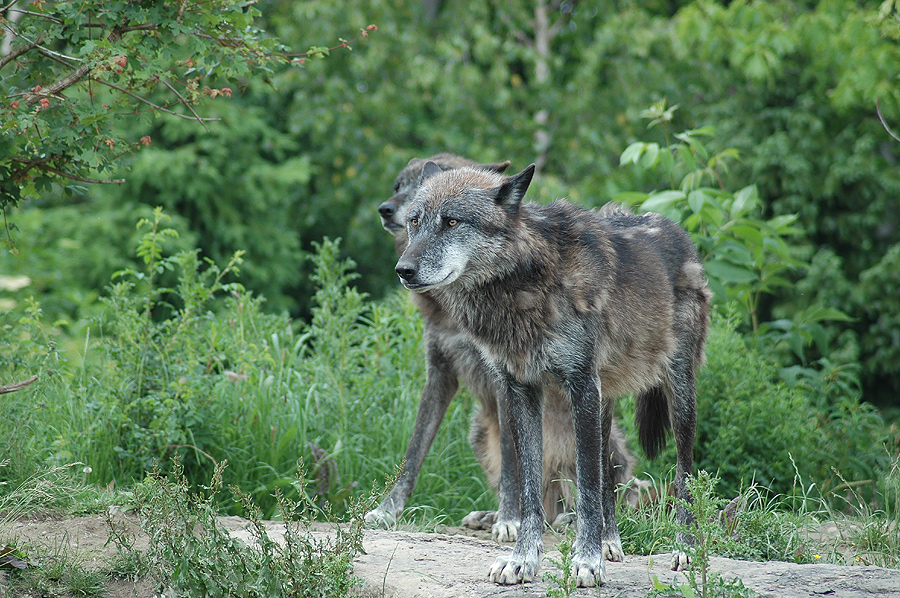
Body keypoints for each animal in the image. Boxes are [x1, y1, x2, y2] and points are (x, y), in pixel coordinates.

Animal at [366, 155, 640, 544]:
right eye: (413, 214)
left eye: (451, 221)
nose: (386, 210)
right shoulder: (440, 375)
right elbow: (414, 451)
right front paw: (388, 510)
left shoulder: (503, 379)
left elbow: (514, 459)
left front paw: (510, 520)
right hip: (479, 432)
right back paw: (494, 515)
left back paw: (564, 519)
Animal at [394, 163, 712, 584]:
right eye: (415, 221)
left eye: (451, 221)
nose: (403, 270)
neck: (524, 282)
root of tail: (675, 229)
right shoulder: (521, 389)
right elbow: (531, 490)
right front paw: (522, 560)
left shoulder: (579, 385)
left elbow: (587, 488)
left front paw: (586, 562)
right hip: (603, 403)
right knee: (607, 472)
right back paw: (610, 543)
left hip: (678, 398)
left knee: (681, 474)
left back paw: (684, 549)